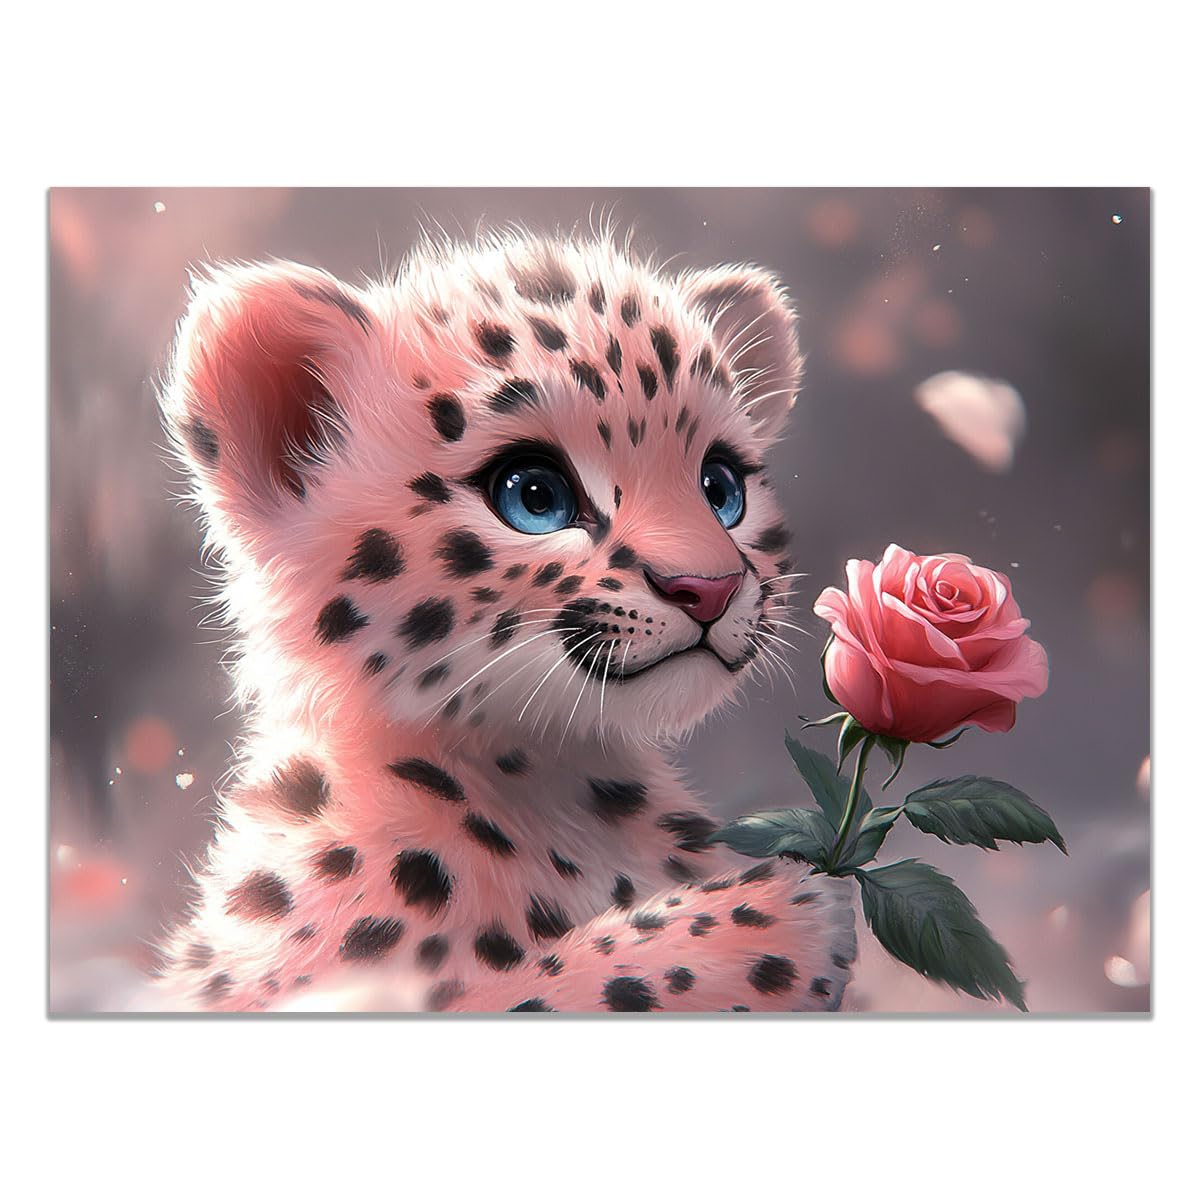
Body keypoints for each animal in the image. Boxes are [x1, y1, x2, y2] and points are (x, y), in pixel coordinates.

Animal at [152, 227, 855, 1012]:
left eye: (721, 485)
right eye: (533, 494)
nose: (708, 587)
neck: (563, 785)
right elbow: (543, 990)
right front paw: (778, 915)